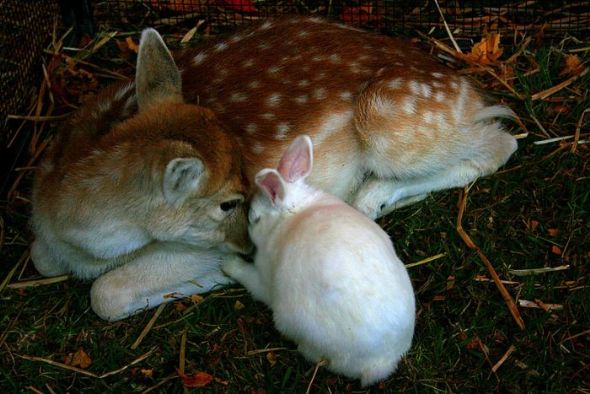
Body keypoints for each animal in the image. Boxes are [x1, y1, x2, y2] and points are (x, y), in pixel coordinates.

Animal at [224, 135, 418, 384]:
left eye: (253, 218)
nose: (248, 232)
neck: (293, 212)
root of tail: (383, 361)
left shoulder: (264, 280)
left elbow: (248, 277)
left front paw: (228, 264)